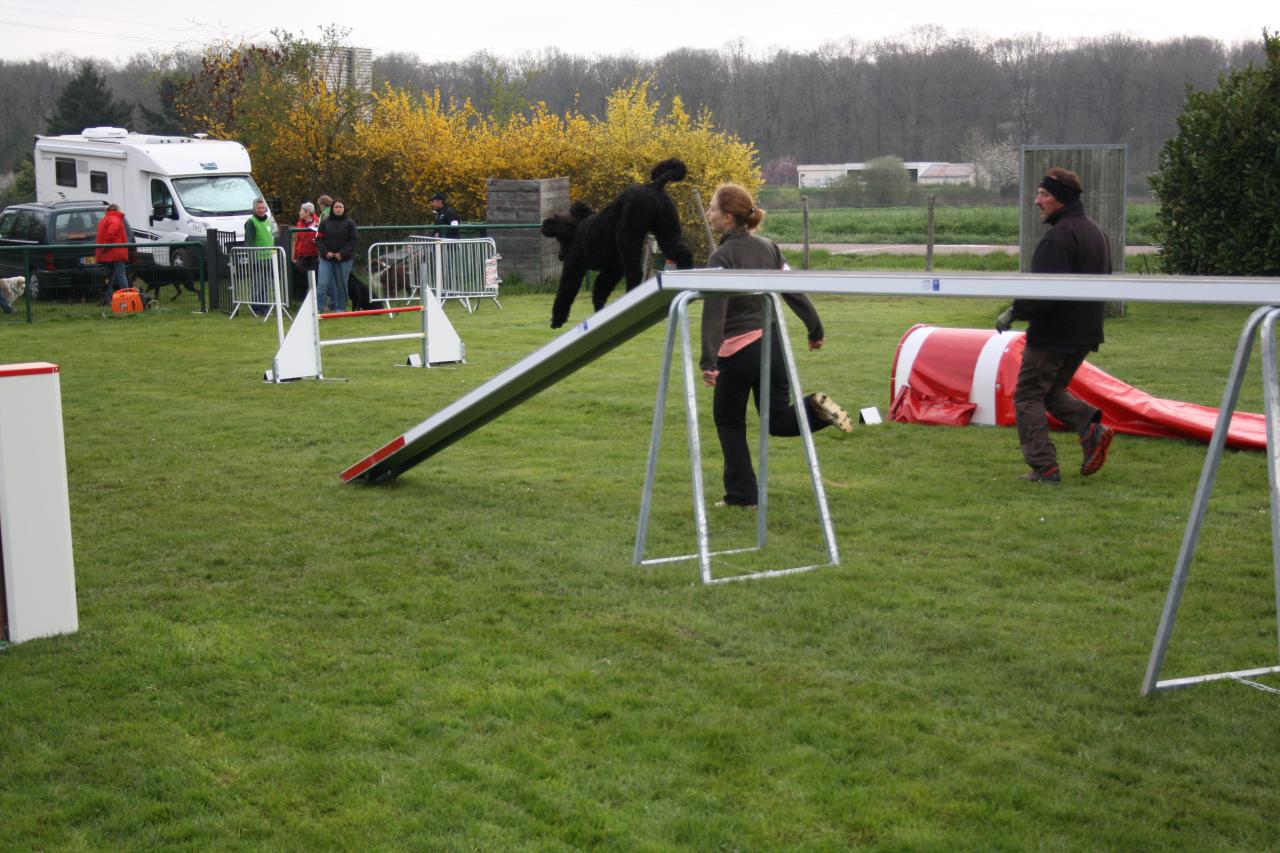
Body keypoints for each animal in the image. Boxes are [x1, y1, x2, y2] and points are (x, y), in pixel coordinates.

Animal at [542, 157, 701, 326]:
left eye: (560, 238)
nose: (560, 256)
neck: (577, 228)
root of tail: (655, 185)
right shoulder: (613, 269)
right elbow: (600, 289)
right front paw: (599, 310)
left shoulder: (574, 267)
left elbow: (565, 293)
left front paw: (557, 319)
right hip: (666, 229)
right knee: (682, 252)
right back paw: (686, 273)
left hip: (628, 235)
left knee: (635, 272)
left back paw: (632, 293)